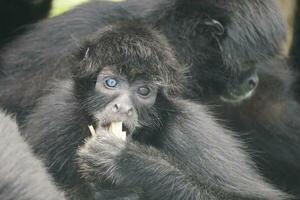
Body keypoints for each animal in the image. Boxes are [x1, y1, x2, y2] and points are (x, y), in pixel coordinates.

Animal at [19, 22, 288, 199]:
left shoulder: (191, 130)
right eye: (111, 83)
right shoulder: (56, 116)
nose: (123, 107)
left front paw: (128, 163)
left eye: (144, 91)